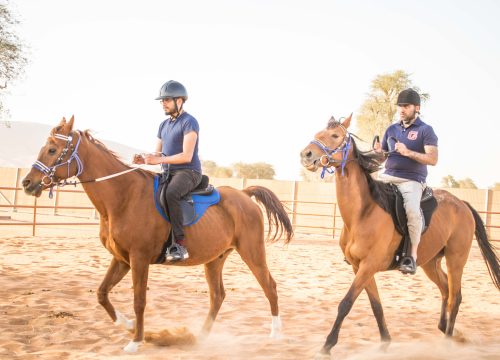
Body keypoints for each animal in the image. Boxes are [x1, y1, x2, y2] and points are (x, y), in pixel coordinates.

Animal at [22, 117, 292, 352]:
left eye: (53, 150)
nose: (27, 183)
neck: (123, 196)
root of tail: (244, 195)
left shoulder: (139, 259)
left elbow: (139, 300)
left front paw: (136, 341)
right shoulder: (122, 259)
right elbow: (101, 294)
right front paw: (128, 325)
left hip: (252, 252)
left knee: (269, 286)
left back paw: (276, 334)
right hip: (215, 259)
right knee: (217, 295)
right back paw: (200, 338)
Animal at [300, 114, 500, 358]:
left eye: (335, 135)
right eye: (318, 133)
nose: (306, 154)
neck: (363, 212)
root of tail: (462, 204)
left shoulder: (368, 265)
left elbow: (346, 303)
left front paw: (327, 346)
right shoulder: (360, 267)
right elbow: (376, 305)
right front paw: (385, 342)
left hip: (456, 260)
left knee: (455, 296)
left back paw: (448, 341)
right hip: (430, 262)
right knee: (445, 289)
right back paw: (446, 330)